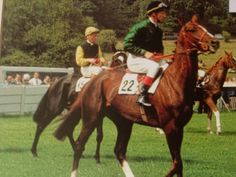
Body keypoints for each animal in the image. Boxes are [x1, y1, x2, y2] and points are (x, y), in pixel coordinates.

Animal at [54, 15, 219, 176]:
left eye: (203, 26)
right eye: (192, 29)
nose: (215, 42)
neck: (175, 81)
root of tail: (93, 81)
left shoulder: (179, 128)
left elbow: (178, 165)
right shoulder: (170, 127)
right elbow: (177, 164)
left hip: (124, 122)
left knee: (119, 151)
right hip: (91, 118)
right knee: (79, 146)